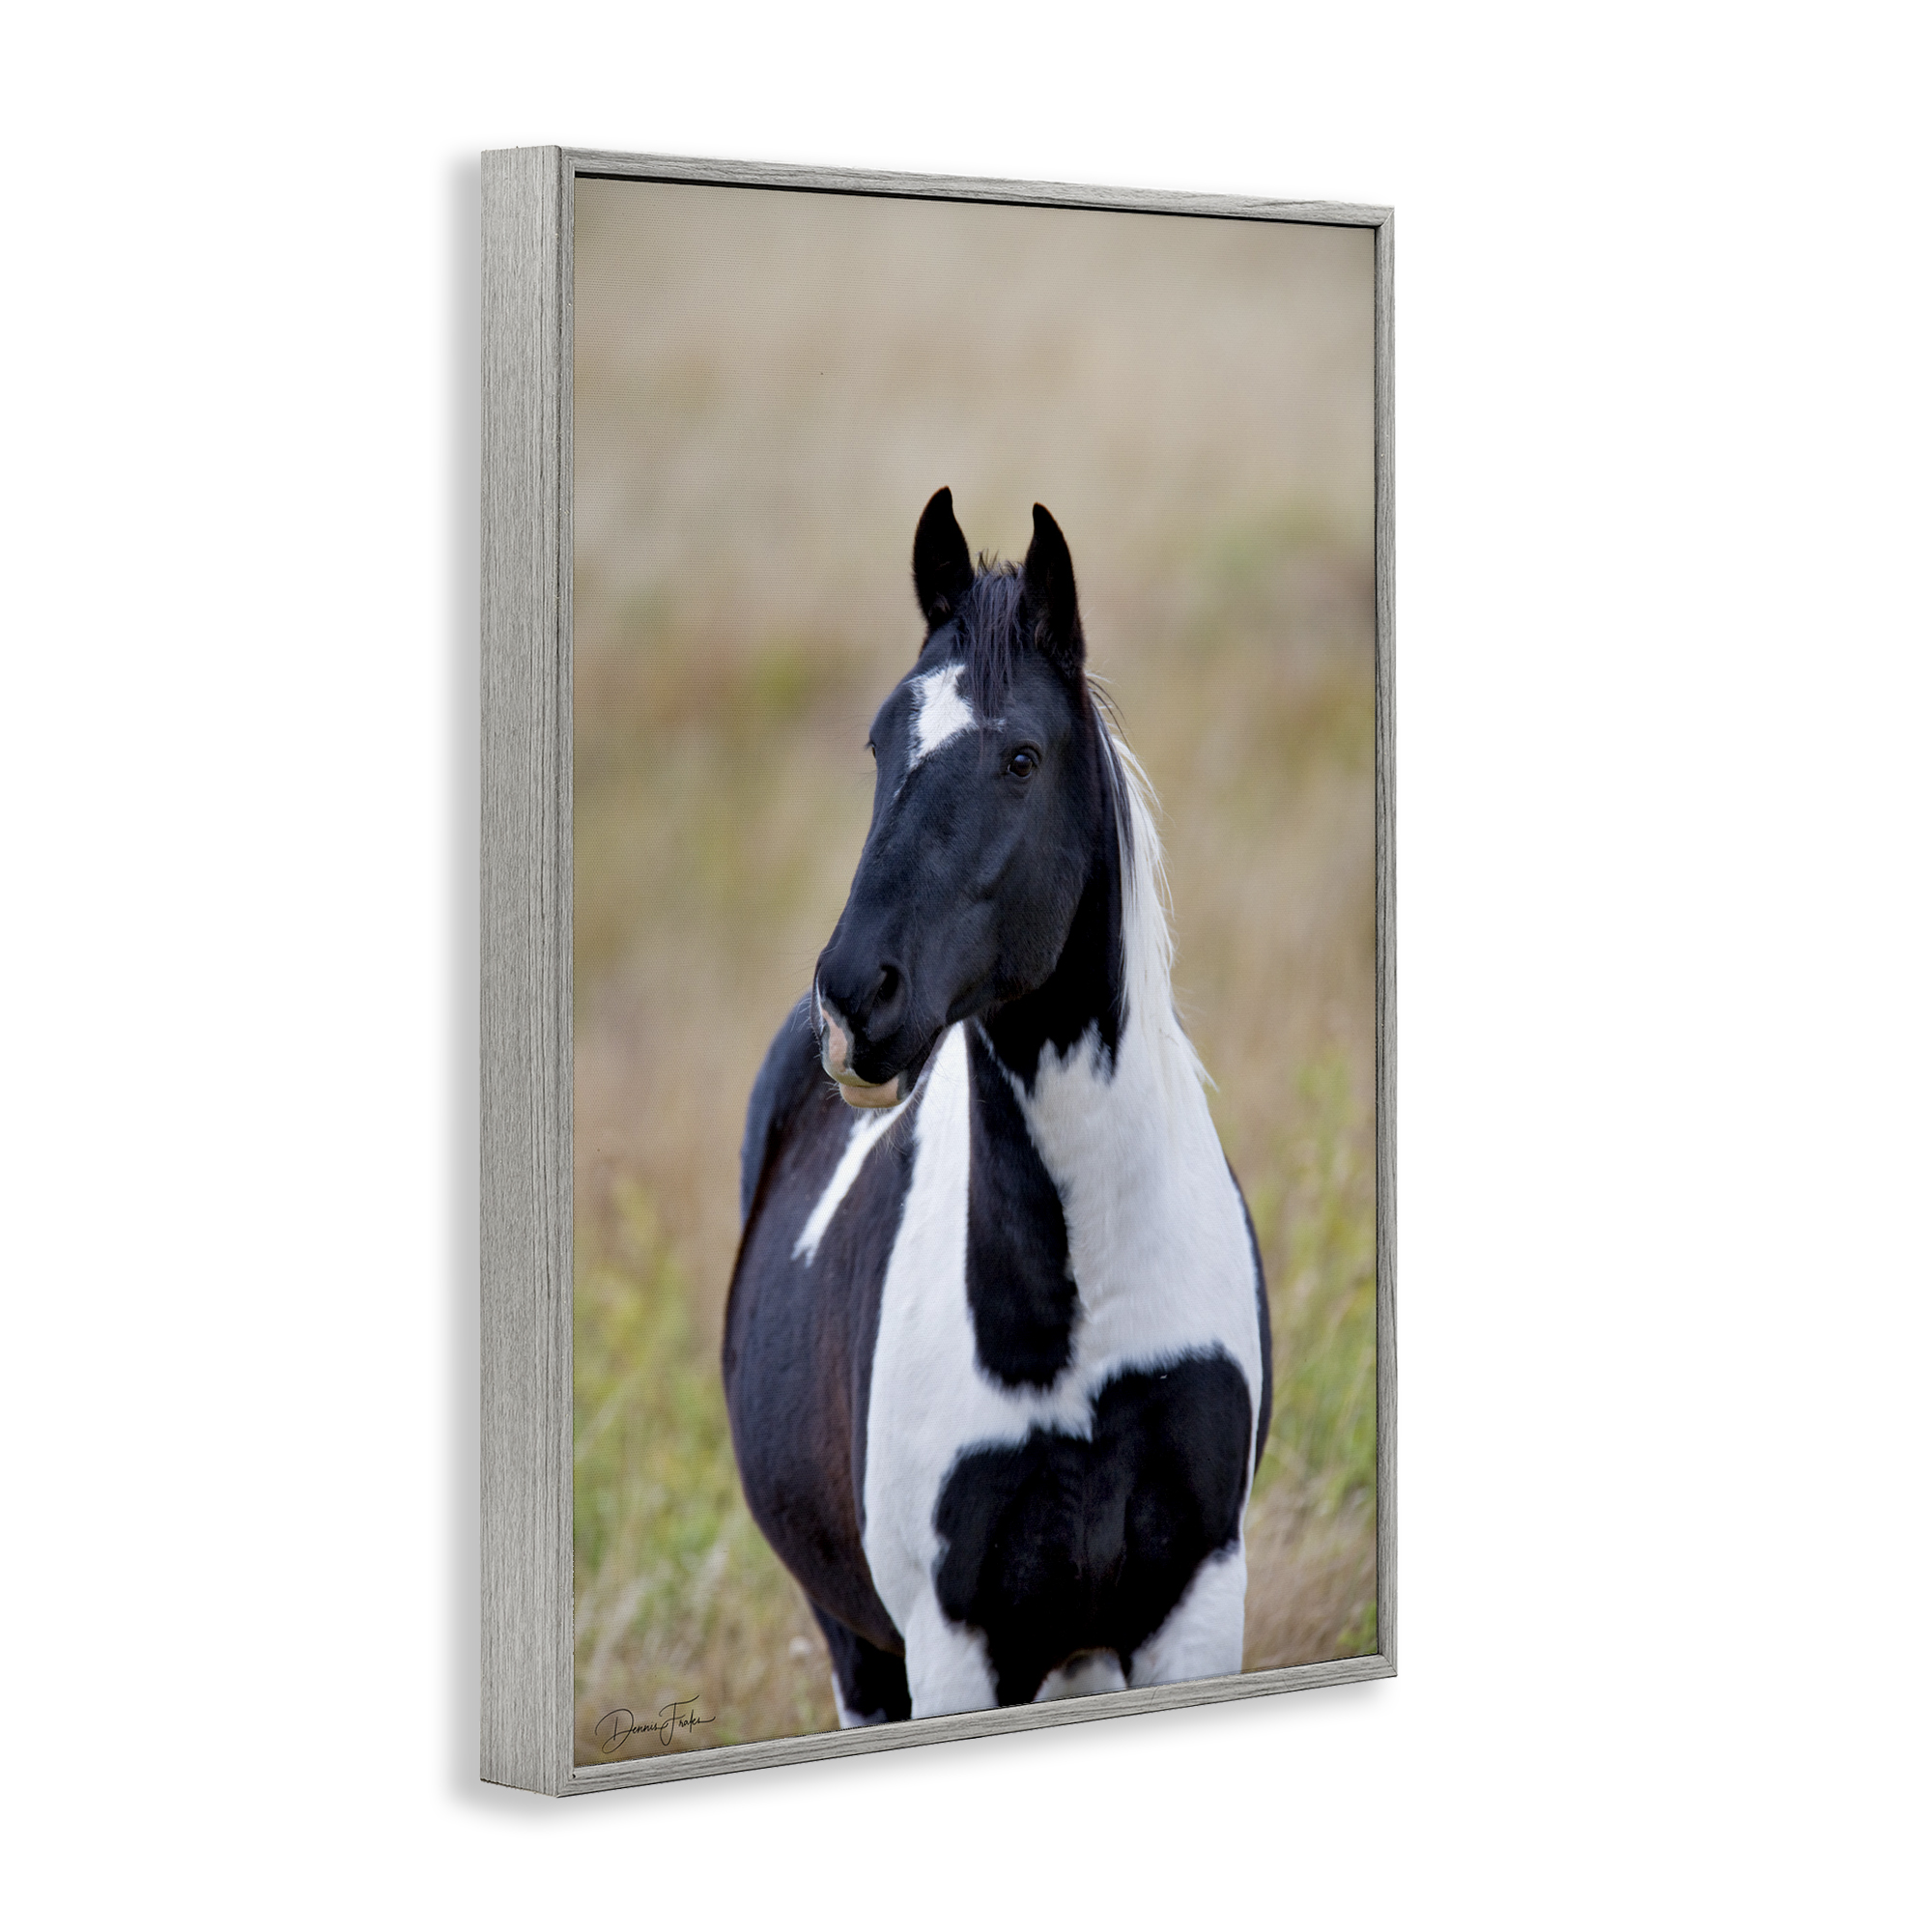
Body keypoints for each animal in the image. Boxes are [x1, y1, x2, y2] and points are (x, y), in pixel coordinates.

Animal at [722, 488, 1272, 1725]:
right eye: (882, 742)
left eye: (1020, 755)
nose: (852, 1000)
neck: (1078, 1324)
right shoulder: (953, 1648)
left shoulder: (1192, 1604)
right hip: (859, 1650)